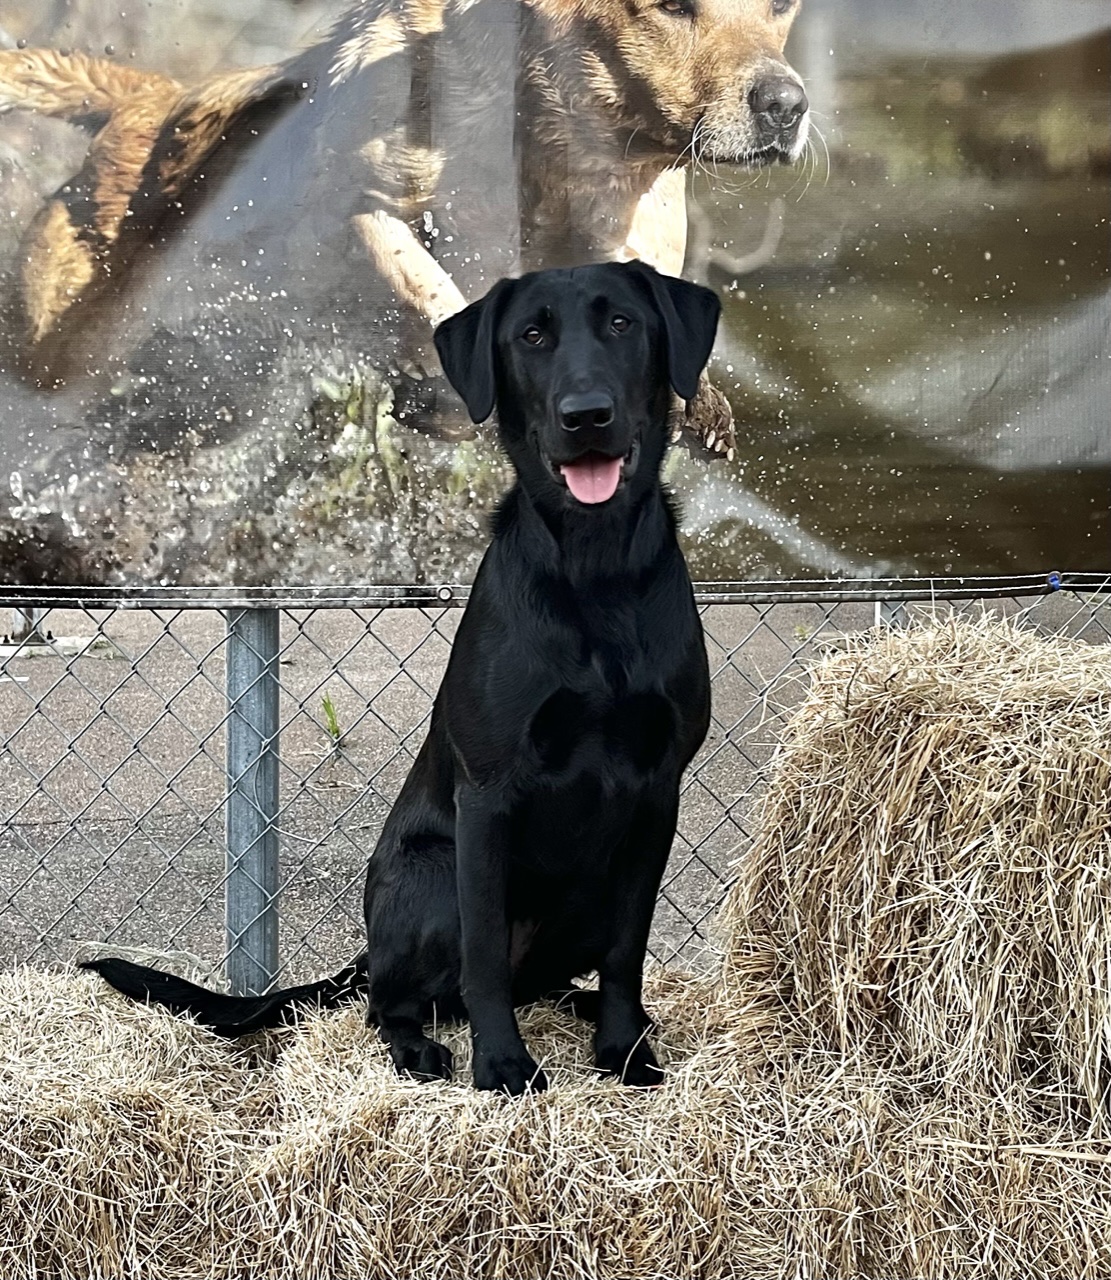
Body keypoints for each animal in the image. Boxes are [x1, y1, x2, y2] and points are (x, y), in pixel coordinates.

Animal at [82, 262, 716, 1100]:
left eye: (621, 324)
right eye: (532, 336)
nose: (585, 416)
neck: (595, 569)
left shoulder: (655, 794)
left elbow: (626, 953)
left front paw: (622, 1050)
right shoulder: (488, 795)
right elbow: (483, 959)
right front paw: (501, 1066)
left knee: (538, 981)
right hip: (429, 874)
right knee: (395, 1001)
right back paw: (418, 1046)